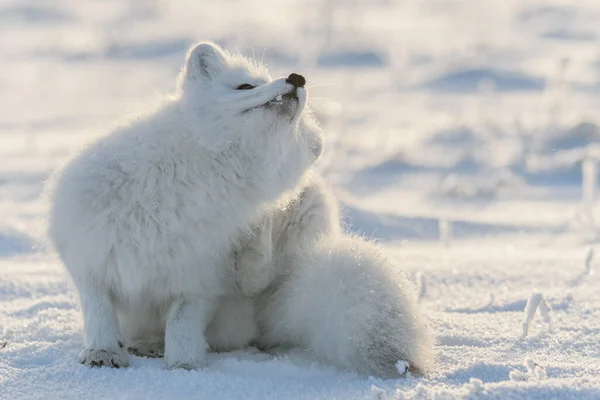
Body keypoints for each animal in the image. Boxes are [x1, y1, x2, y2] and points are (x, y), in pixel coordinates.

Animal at [45, 41, 324, 368]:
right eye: (246, 86)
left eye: (297, 125)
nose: (297, 78)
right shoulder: (87, 254)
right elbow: (98, 310)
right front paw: (102, 353)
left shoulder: (199, 280)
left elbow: (182, 323)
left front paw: (184, 366)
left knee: (257, 278)